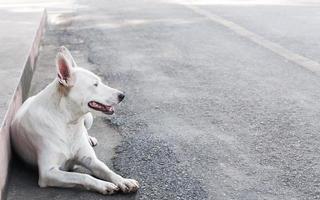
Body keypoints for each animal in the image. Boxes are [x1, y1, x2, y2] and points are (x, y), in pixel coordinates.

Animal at [10, 46, 139, 194]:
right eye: (95, 84)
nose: (122, 95)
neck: (68, 122)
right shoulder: (48, 173)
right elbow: (83, 176)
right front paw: (104, 185)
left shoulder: (90, 159)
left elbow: (107, 170)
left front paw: (124, 181)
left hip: (88, 120)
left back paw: (89, 138)